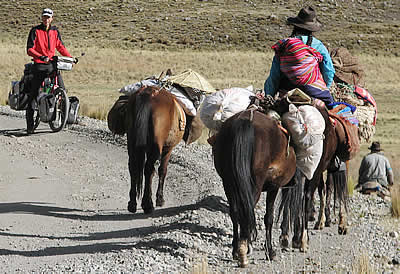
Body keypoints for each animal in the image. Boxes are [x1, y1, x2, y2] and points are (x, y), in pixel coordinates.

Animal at [214, 107, 298, 268]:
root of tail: (246, 120)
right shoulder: (274, 187)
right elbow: (269, 217)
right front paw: (270, 251)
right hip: (255, 184)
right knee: (247, 210)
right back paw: (243, 251)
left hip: (228, 182)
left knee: (235, 211)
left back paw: (237, 249)